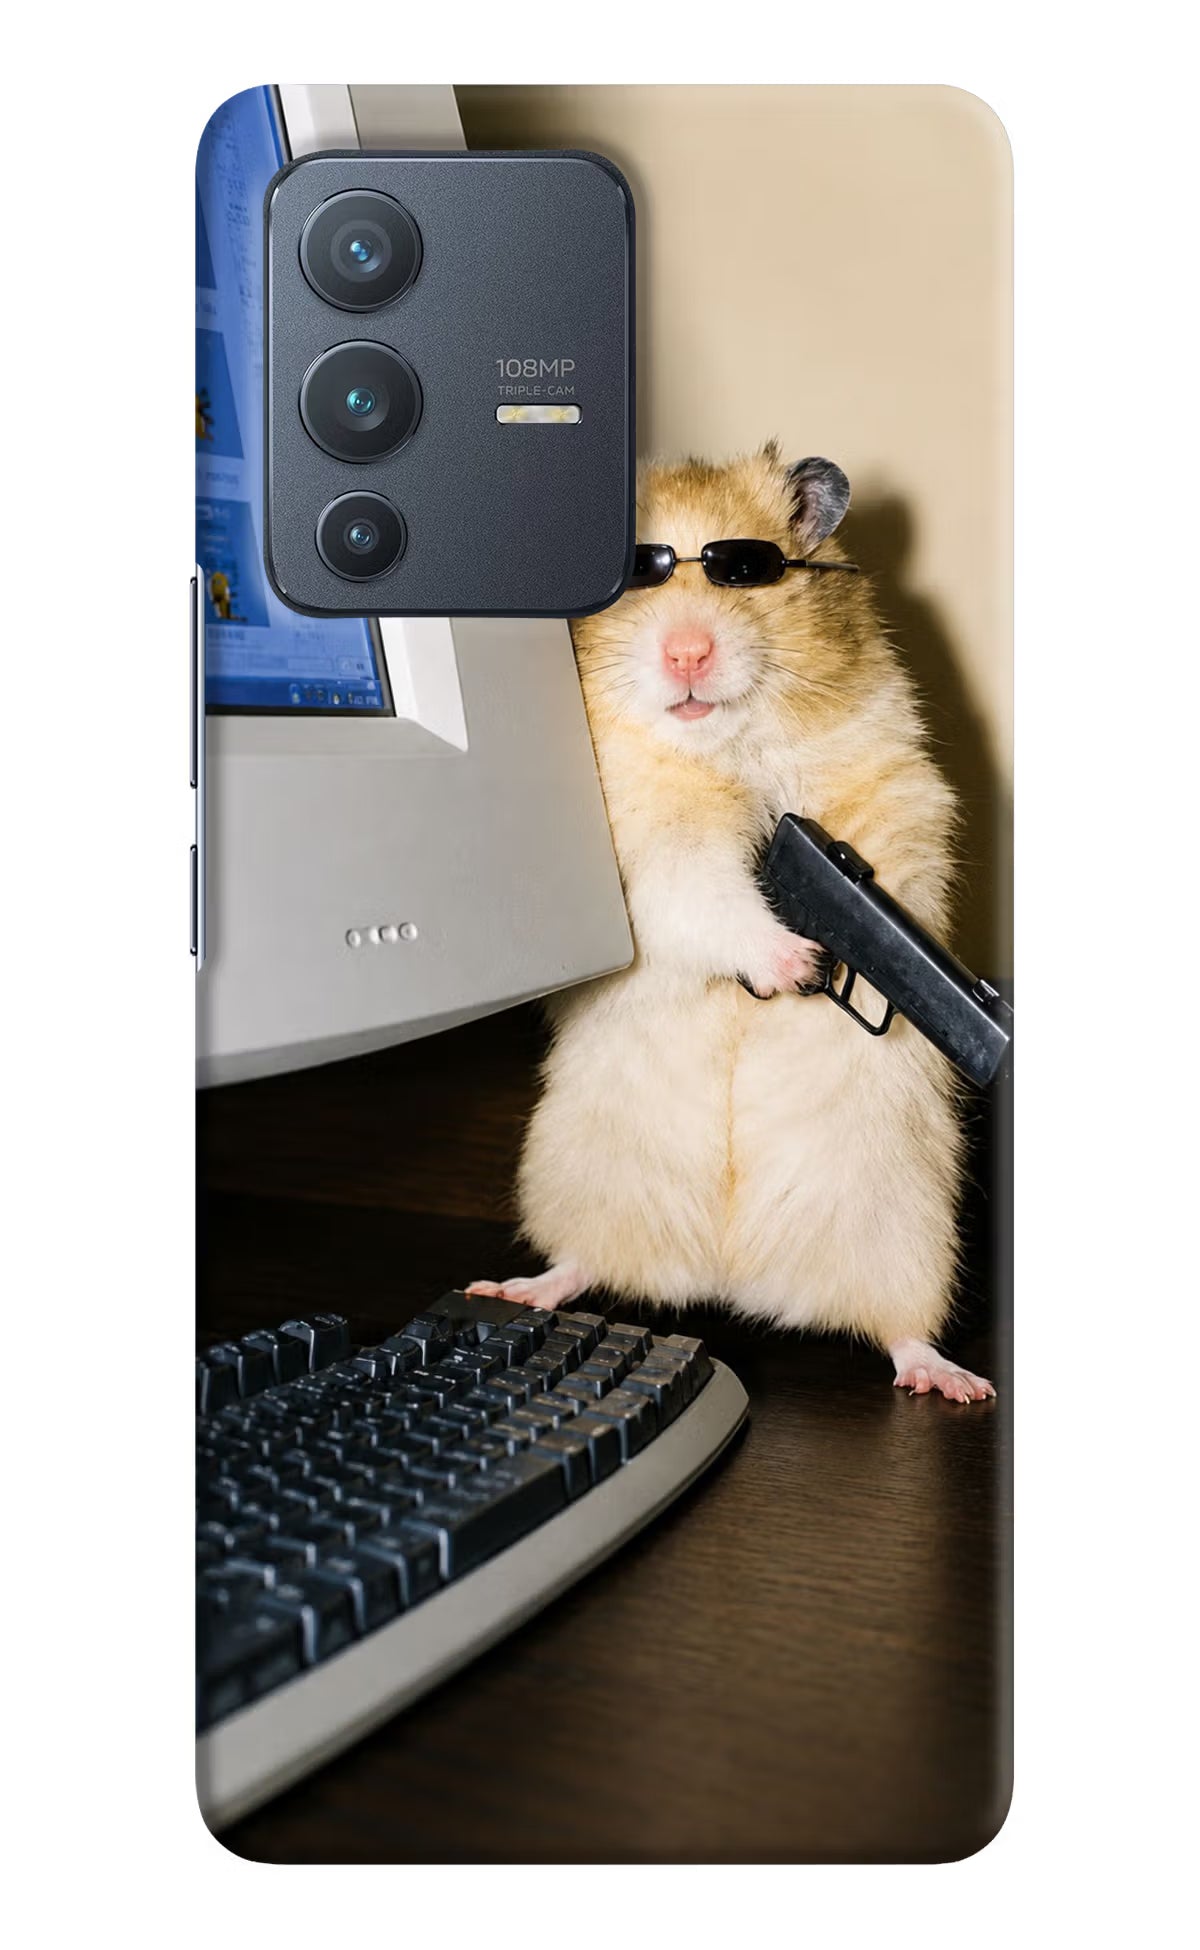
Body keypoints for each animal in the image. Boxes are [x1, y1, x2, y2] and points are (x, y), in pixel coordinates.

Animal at [469, 445, 994, 1402]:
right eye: (636, 575)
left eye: (747, 571)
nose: (687, 651)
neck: (725, 747)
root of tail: (730, 1276)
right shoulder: (649, 851)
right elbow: (707, 895)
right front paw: (797, 963)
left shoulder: (895, 788)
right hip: (580, 1176)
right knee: (582, 1263)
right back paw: (515, 1288)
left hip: (908, 1229)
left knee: (899, 1329)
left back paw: (954, 1381)